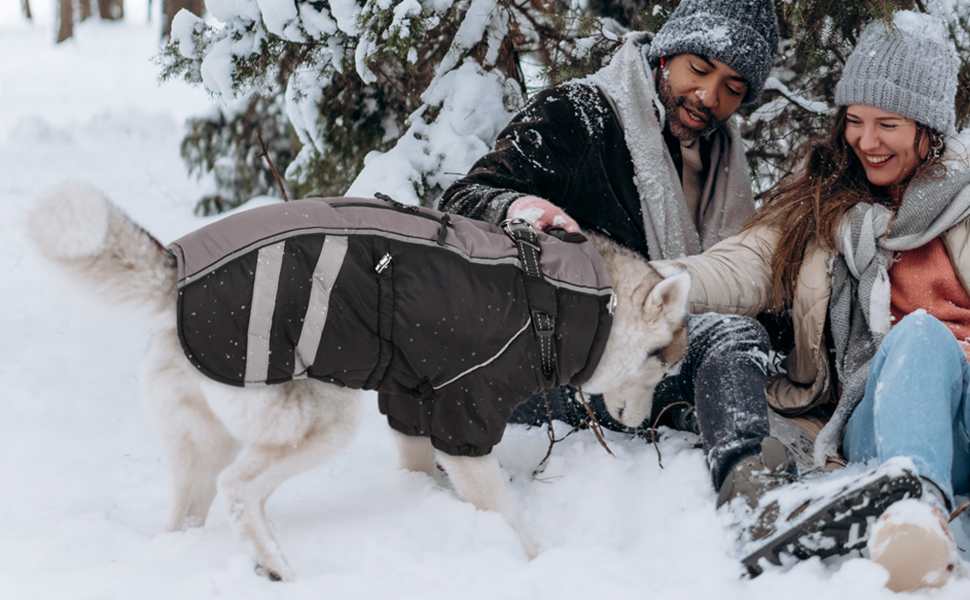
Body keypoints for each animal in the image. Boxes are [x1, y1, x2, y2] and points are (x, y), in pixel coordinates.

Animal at [28, 184, 688, 580]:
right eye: (662, 365)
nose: (641, 424)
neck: (557, 295)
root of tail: (177, 274)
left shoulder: (410, 405)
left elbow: (418, 466)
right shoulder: (464, 419)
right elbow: (503, 513)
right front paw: (533, 565)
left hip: (203, 441)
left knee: (195, 505)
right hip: (322, 421)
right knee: (237, 488)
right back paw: (274, 564)